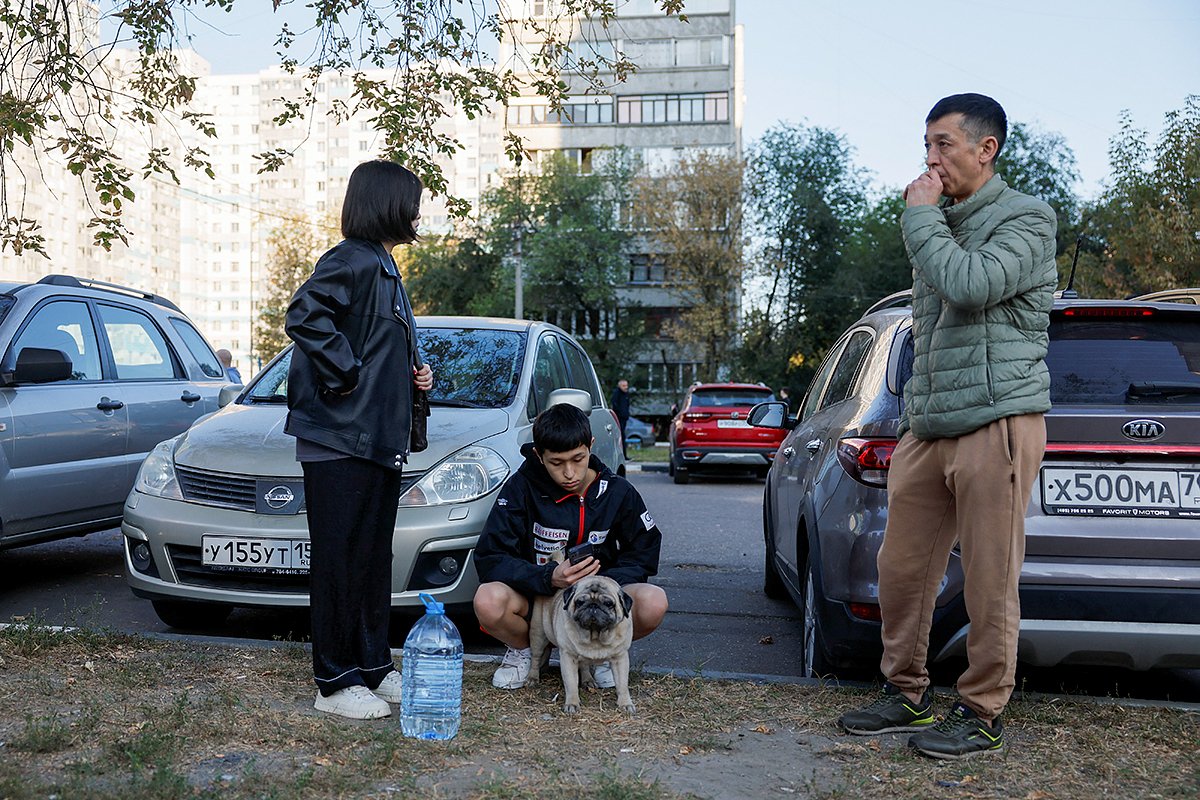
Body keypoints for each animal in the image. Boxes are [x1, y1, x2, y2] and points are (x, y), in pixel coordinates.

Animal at [528, 573, 633, 714]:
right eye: (580, 602)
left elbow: (622, 684)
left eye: (608, 603)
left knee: (584, 665)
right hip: (538, 635)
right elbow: (571, 683)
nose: (593, 605)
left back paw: (588, 680)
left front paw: (626, 704)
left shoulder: (619, 658)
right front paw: (572, 704)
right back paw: (532, 678)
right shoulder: (568, 657)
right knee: (535, 657)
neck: (594, 635)